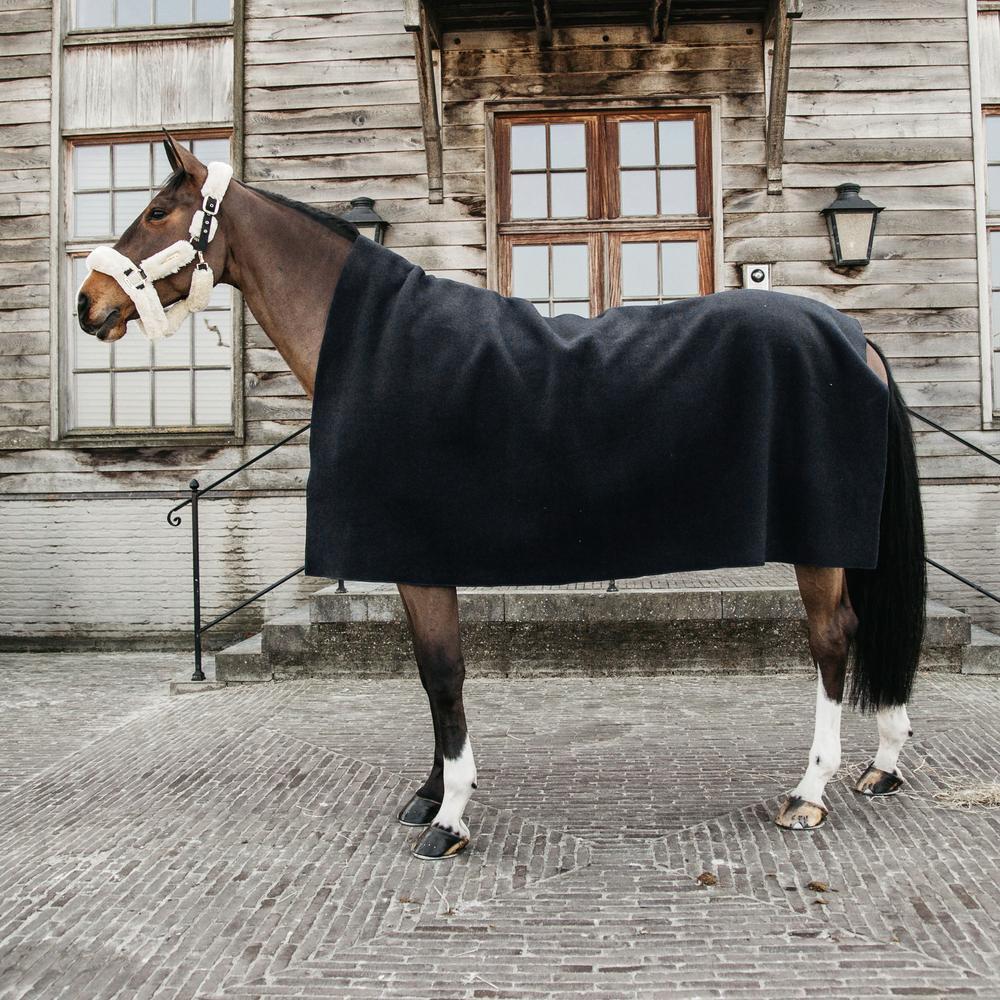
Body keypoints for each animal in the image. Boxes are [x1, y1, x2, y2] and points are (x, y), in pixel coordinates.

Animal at [76, 133, 926, 861]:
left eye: (157, 213)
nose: (89, 303)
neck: (376, 346)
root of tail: (853, 336)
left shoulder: (422, 561)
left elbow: (444, 674)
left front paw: (450, 816)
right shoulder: (417, 563)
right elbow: (430, 678)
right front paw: (430, 792)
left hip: (818, 549)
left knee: (832, 641)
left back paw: (809, 791)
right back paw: (882, 764)